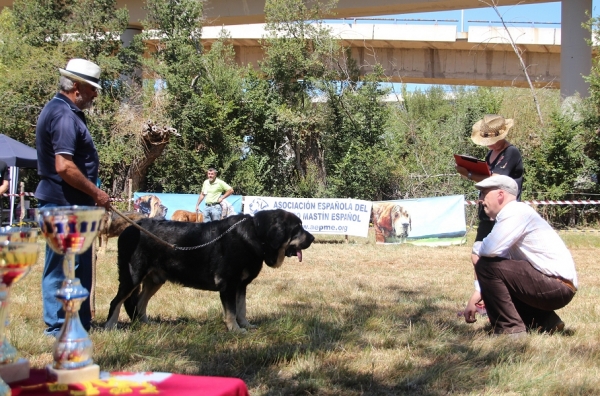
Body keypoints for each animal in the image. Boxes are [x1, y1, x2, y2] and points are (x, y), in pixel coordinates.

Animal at [105, 209, 316, 332]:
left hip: (154, 280)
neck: (256, 234)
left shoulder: (241, 285)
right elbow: (231, 311)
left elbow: (242, 308)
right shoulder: (228, 284)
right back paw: (110, 327)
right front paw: (236, 330)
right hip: (132, 276)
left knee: (140, 302)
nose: (312, 238)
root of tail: (131, 228)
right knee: (116, 301)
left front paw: (245, 325)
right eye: (297, 228)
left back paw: (146, 324)